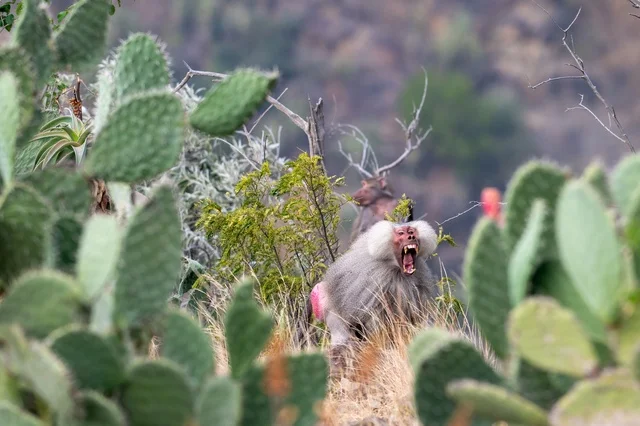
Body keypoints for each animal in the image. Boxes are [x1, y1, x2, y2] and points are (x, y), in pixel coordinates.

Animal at [309, 219, 441, 377]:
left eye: (411, 231)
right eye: (401, 233)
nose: (411, 237)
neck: (395, 269)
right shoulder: (374, 281)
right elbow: (375, 323)